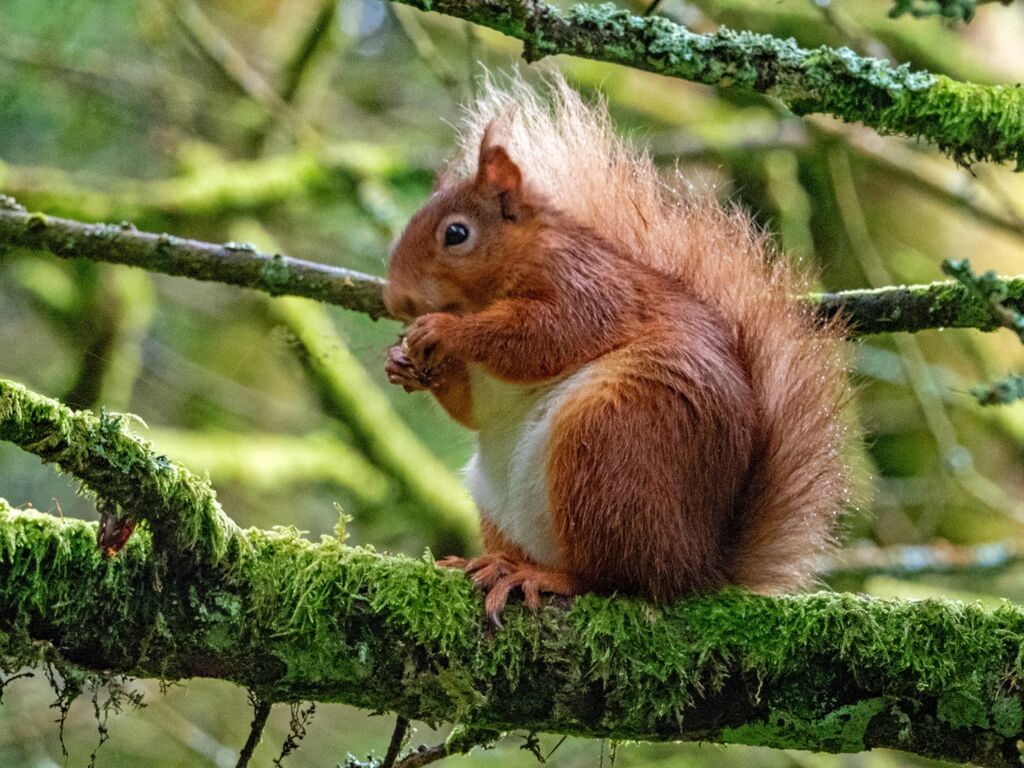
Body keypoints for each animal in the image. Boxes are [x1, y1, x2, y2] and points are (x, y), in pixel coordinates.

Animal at [383, 74, 852, 623]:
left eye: (456, 233)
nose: (396, 300)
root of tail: (694, 568)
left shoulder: (590, 290)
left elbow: (544, 337)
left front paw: (445, 330)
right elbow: (475, 410)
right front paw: (403, 364)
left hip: (608, 446)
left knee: (612, 578)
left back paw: (539, 576)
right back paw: (491, 562)